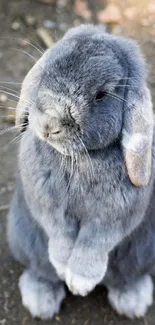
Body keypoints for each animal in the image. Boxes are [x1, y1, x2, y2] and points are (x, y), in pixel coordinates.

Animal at [7, 25, 155, 318]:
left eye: (101, 95)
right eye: (45, 71)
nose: (49, 125)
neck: (78, 159)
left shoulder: (112, 218)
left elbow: (93, 242)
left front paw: (80, 282)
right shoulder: (48, 207)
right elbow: (60, 234)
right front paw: (64, 267)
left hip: (142, 252)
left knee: (125, 277)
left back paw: (133, 301)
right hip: (24, 239)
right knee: (41, 271)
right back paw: (41, 302)